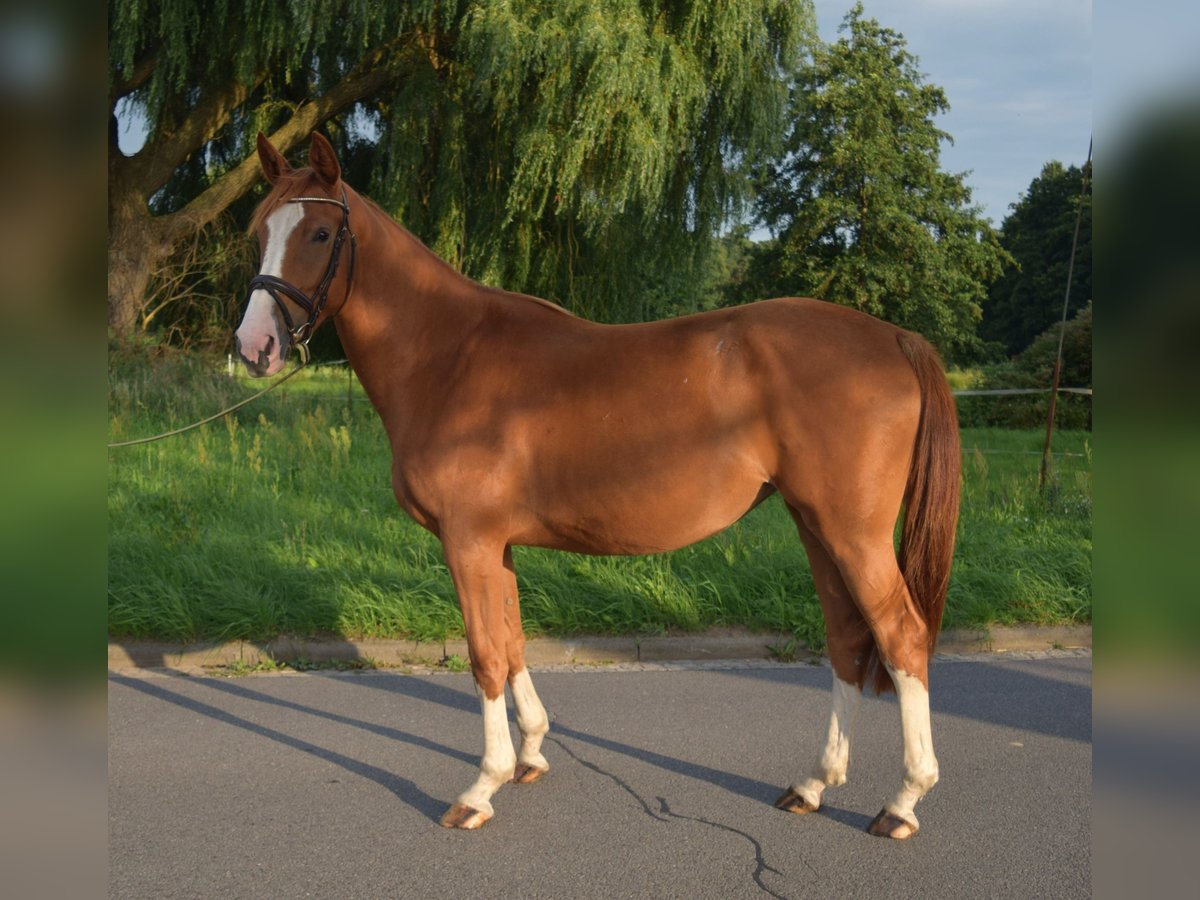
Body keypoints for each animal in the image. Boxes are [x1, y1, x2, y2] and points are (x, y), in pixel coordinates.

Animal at [235, 132, 961, 840]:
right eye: (258, 231)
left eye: (319, 234)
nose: (254, 346)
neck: (450, 356)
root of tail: (895, 338)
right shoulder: (496, 545)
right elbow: (512, 641)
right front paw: (529, 755)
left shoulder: (468, 541)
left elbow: (484, 655)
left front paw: (481, 787)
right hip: (816, 526)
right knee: (848, 638)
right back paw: (813, 785)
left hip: (851, 533)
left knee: (901, 636)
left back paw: (903, 801)